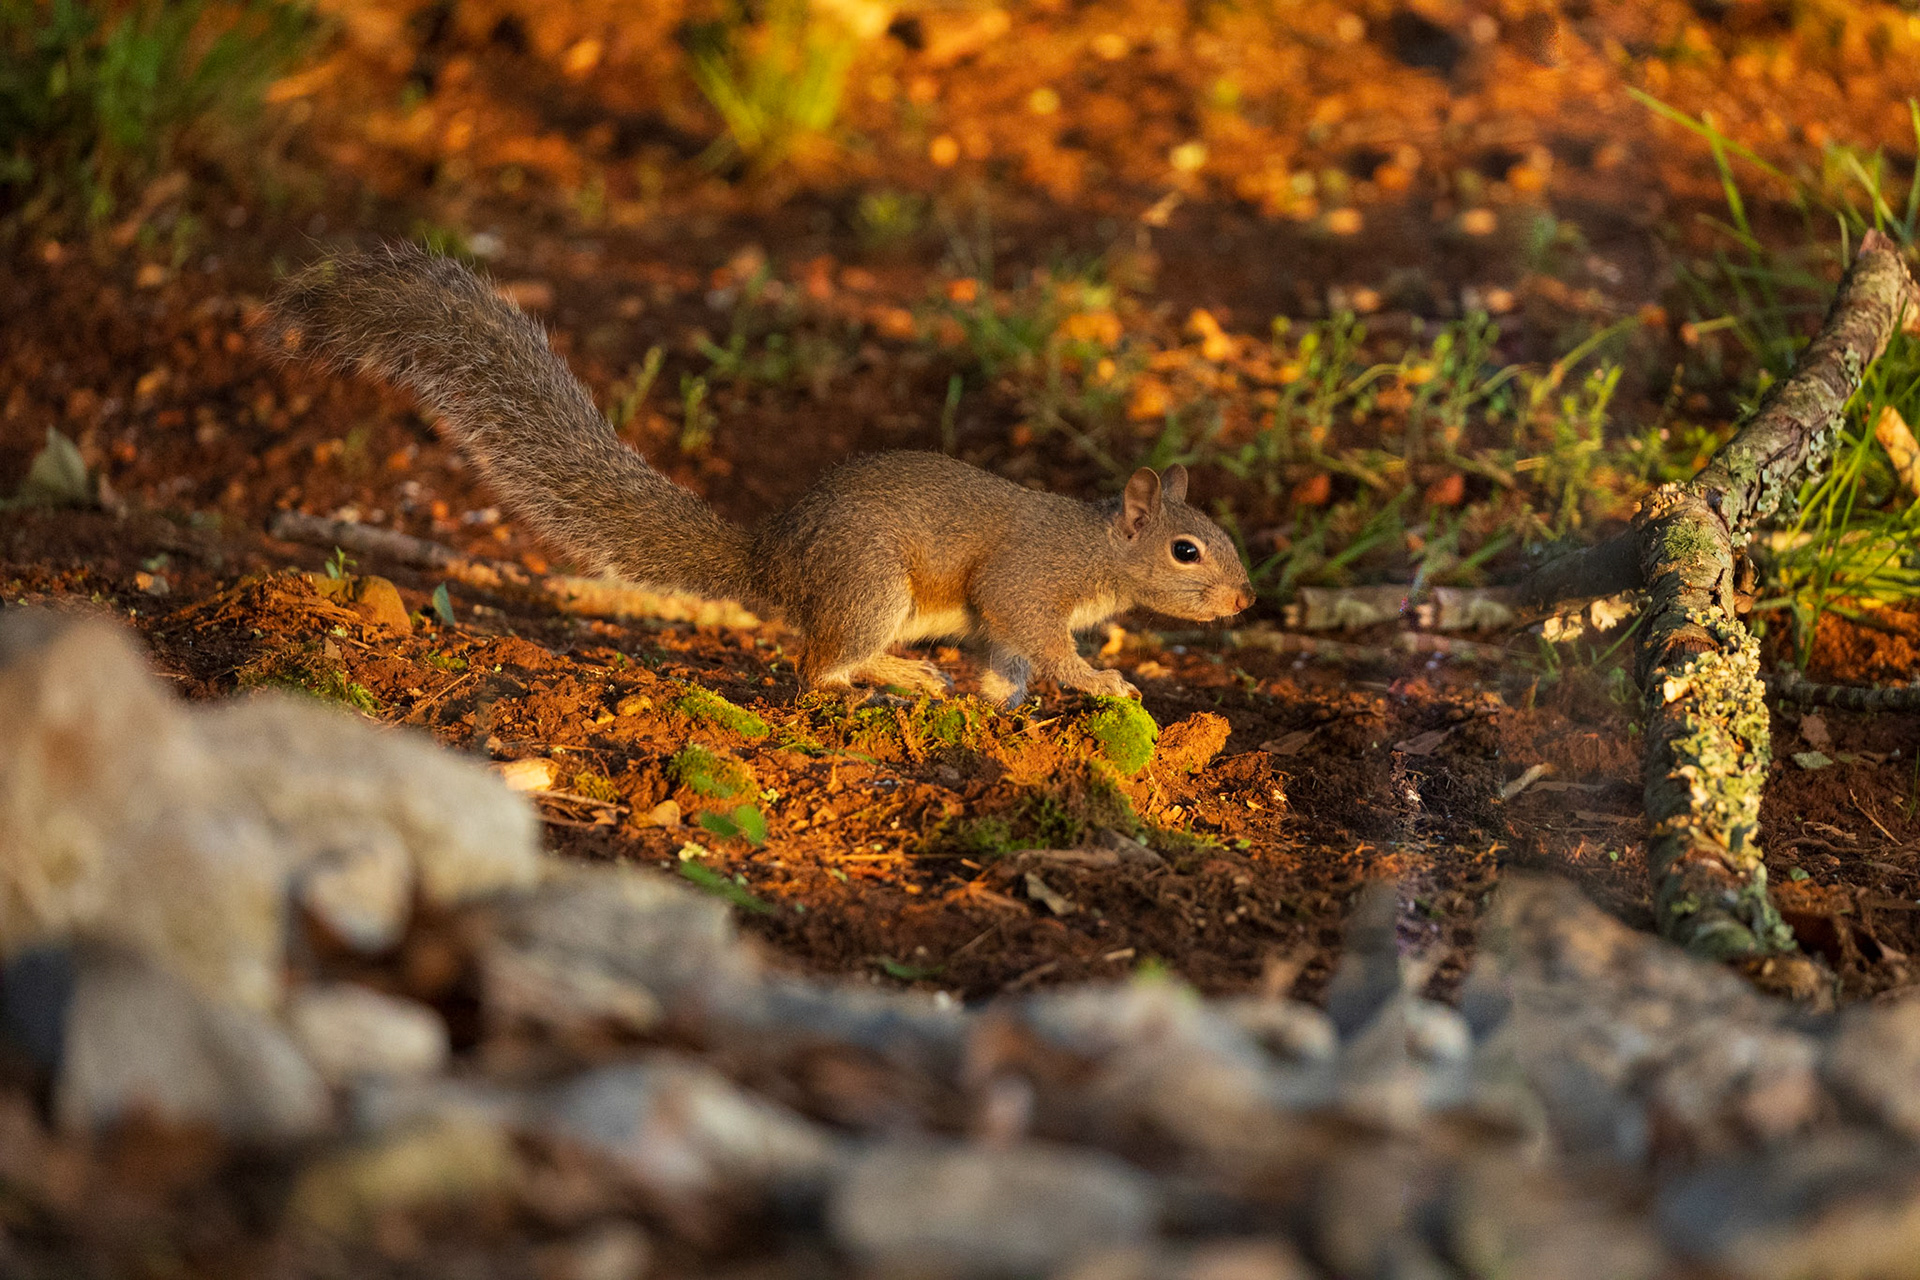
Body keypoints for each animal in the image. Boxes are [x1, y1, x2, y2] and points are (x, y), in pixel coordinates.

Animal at [263, 244, 1255, 706]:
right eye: (1188, 550)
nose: (1246, 600)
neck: (1099, 548)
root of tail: (773, 559)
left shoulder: (1010, 617)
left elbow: (1007, 661)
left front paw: (998, 701)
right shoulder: (1028, 582)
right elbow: (1039, 640)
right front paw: (1103, 684)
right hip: (871, 587)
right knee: (819, 667)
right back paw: (899, 678)